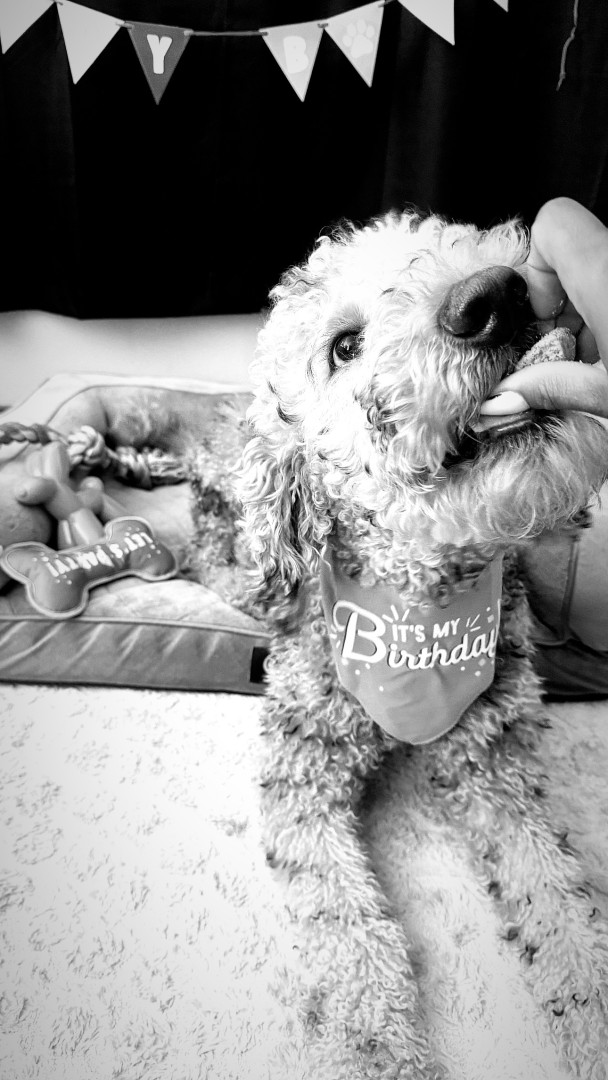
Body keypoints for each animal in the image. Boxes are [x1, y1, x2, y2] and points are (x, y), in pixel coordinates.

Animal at [191, 211, 608, 1079]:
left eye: (455, 238)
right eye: (343, 346)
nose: (492, 296)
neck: (418, 600)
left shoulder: (495, 758)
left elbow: (557, 893)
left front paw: (591, 1007)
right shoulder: (301, 777)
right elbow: (351, 936)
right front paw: (384, 1052)